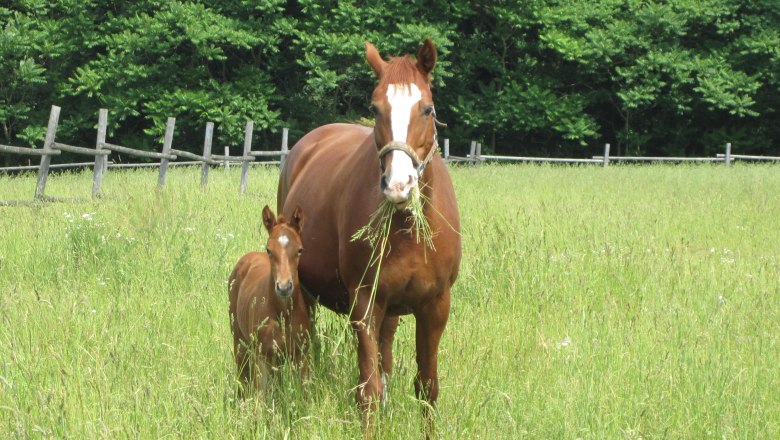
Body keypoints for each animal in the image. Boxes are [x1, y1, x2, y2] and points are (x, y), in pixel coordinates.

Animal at [228, 205, 308, 393]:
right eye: (269, 250)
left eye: (300, 249)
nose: (284, 287)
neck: (283, 313)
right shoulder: (263, 356)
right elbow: (261, 395)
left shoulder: (300, 355)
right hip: (240, 341)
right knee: (243, 377)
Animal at [277, 39, 461, 427]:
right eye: (376, 108)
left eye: (427, 109)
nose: (398, 185)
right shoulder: (364, 302)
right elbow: (369, 390)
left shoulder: (436, 305)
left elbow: (427, 388)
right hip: (304, 291)